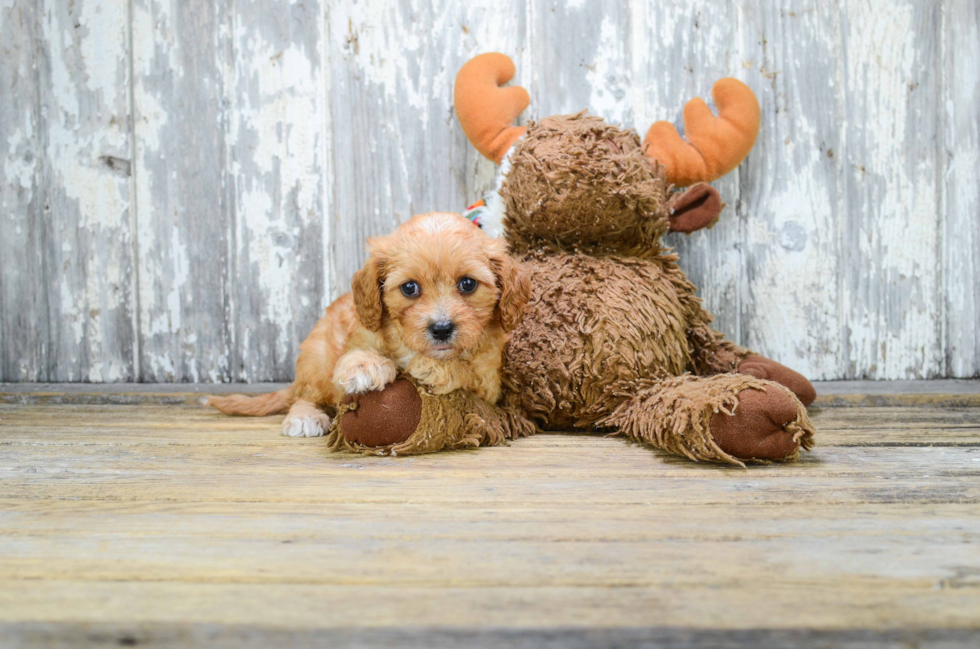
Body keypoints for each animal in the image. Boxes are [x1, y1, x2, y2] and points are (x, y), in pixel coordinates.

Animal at [207, 211, 528, 436]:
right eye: (409, 288)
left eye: (468, 284)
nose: (441, 329)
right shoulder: (360, 333)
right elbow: (357, 353)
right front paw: (363, 366)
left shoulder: (489, 381)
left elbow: (463, 370)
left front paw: (427, 366)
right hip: (316, 356)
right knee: (305, 394)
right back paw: (305, 416)